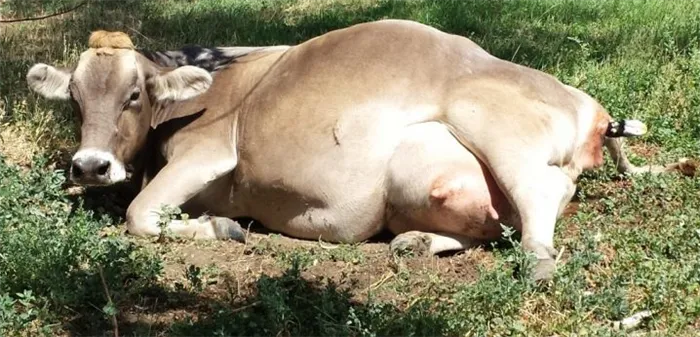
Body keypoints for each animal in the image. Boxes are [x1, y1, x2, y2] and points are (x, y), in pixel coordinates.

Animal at [27, 19, 680, 280]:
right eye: (75, 100)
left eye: (134, 94)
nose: (91, 164)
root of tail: (586, 101)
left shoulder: (211, 152)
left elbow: (140, 215)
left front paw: (224, 228)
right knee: (497, 220)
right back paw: (418, 242)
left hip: (492, 121)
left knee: (539, 194)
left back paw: (539, 263)